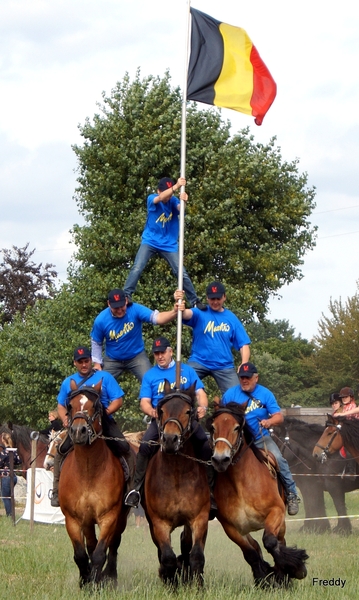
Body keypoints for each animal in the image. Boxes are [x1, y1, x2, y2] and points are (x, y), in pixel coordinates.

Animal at [59, 382, 131, 588]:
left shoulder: (109, 517)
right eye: (70, 406)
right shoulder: (74, 519)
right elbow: (81, 554)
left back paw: (110, 575)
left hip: (121, 517)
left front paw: (96, 583)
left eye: (96, 406)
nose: (78, 431)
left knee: (113, 544)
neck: (88, 471)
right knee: (91, 545)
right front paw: (85, 581)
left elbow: (100, 553)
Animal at [143, 382, 211, 584]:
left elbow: (197, 555)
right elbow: (167, 557)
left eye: (188, 411)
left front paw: (197, 585)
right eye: (162, 410)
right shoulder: (159, 523)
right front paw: (170, 583)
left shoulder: (199, 518)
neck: (177, 474)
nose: (170, 440)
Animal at [208, 404, 310, 584]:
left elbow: (270, 542)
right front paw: (265, 577)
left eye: (236, 427)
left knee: (279, 542)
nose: (220, 459)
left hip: (280, 524)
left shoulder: (276, 512)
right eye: (213, 427)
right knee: (256, 546)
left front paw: (296, 569)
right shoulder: (231, 527)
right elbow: (251, 552)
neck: (241, 484)